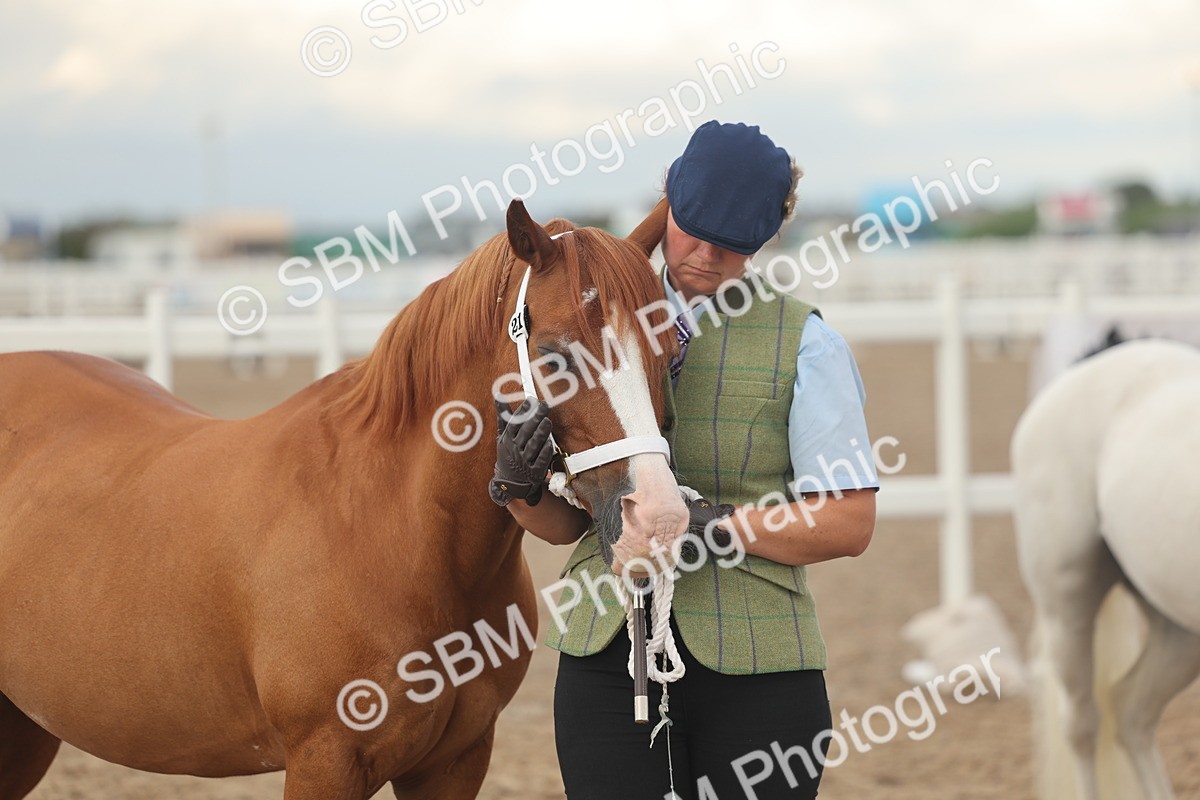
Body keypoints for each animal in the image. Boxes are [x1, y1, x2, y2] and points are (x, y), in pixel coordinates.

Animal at [0, 198, 688, 800]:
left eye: (669, 348)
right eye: (554, 356)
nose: (657, 518)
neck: (391, 529)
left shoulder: (455, 763)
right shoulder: (324, 761)